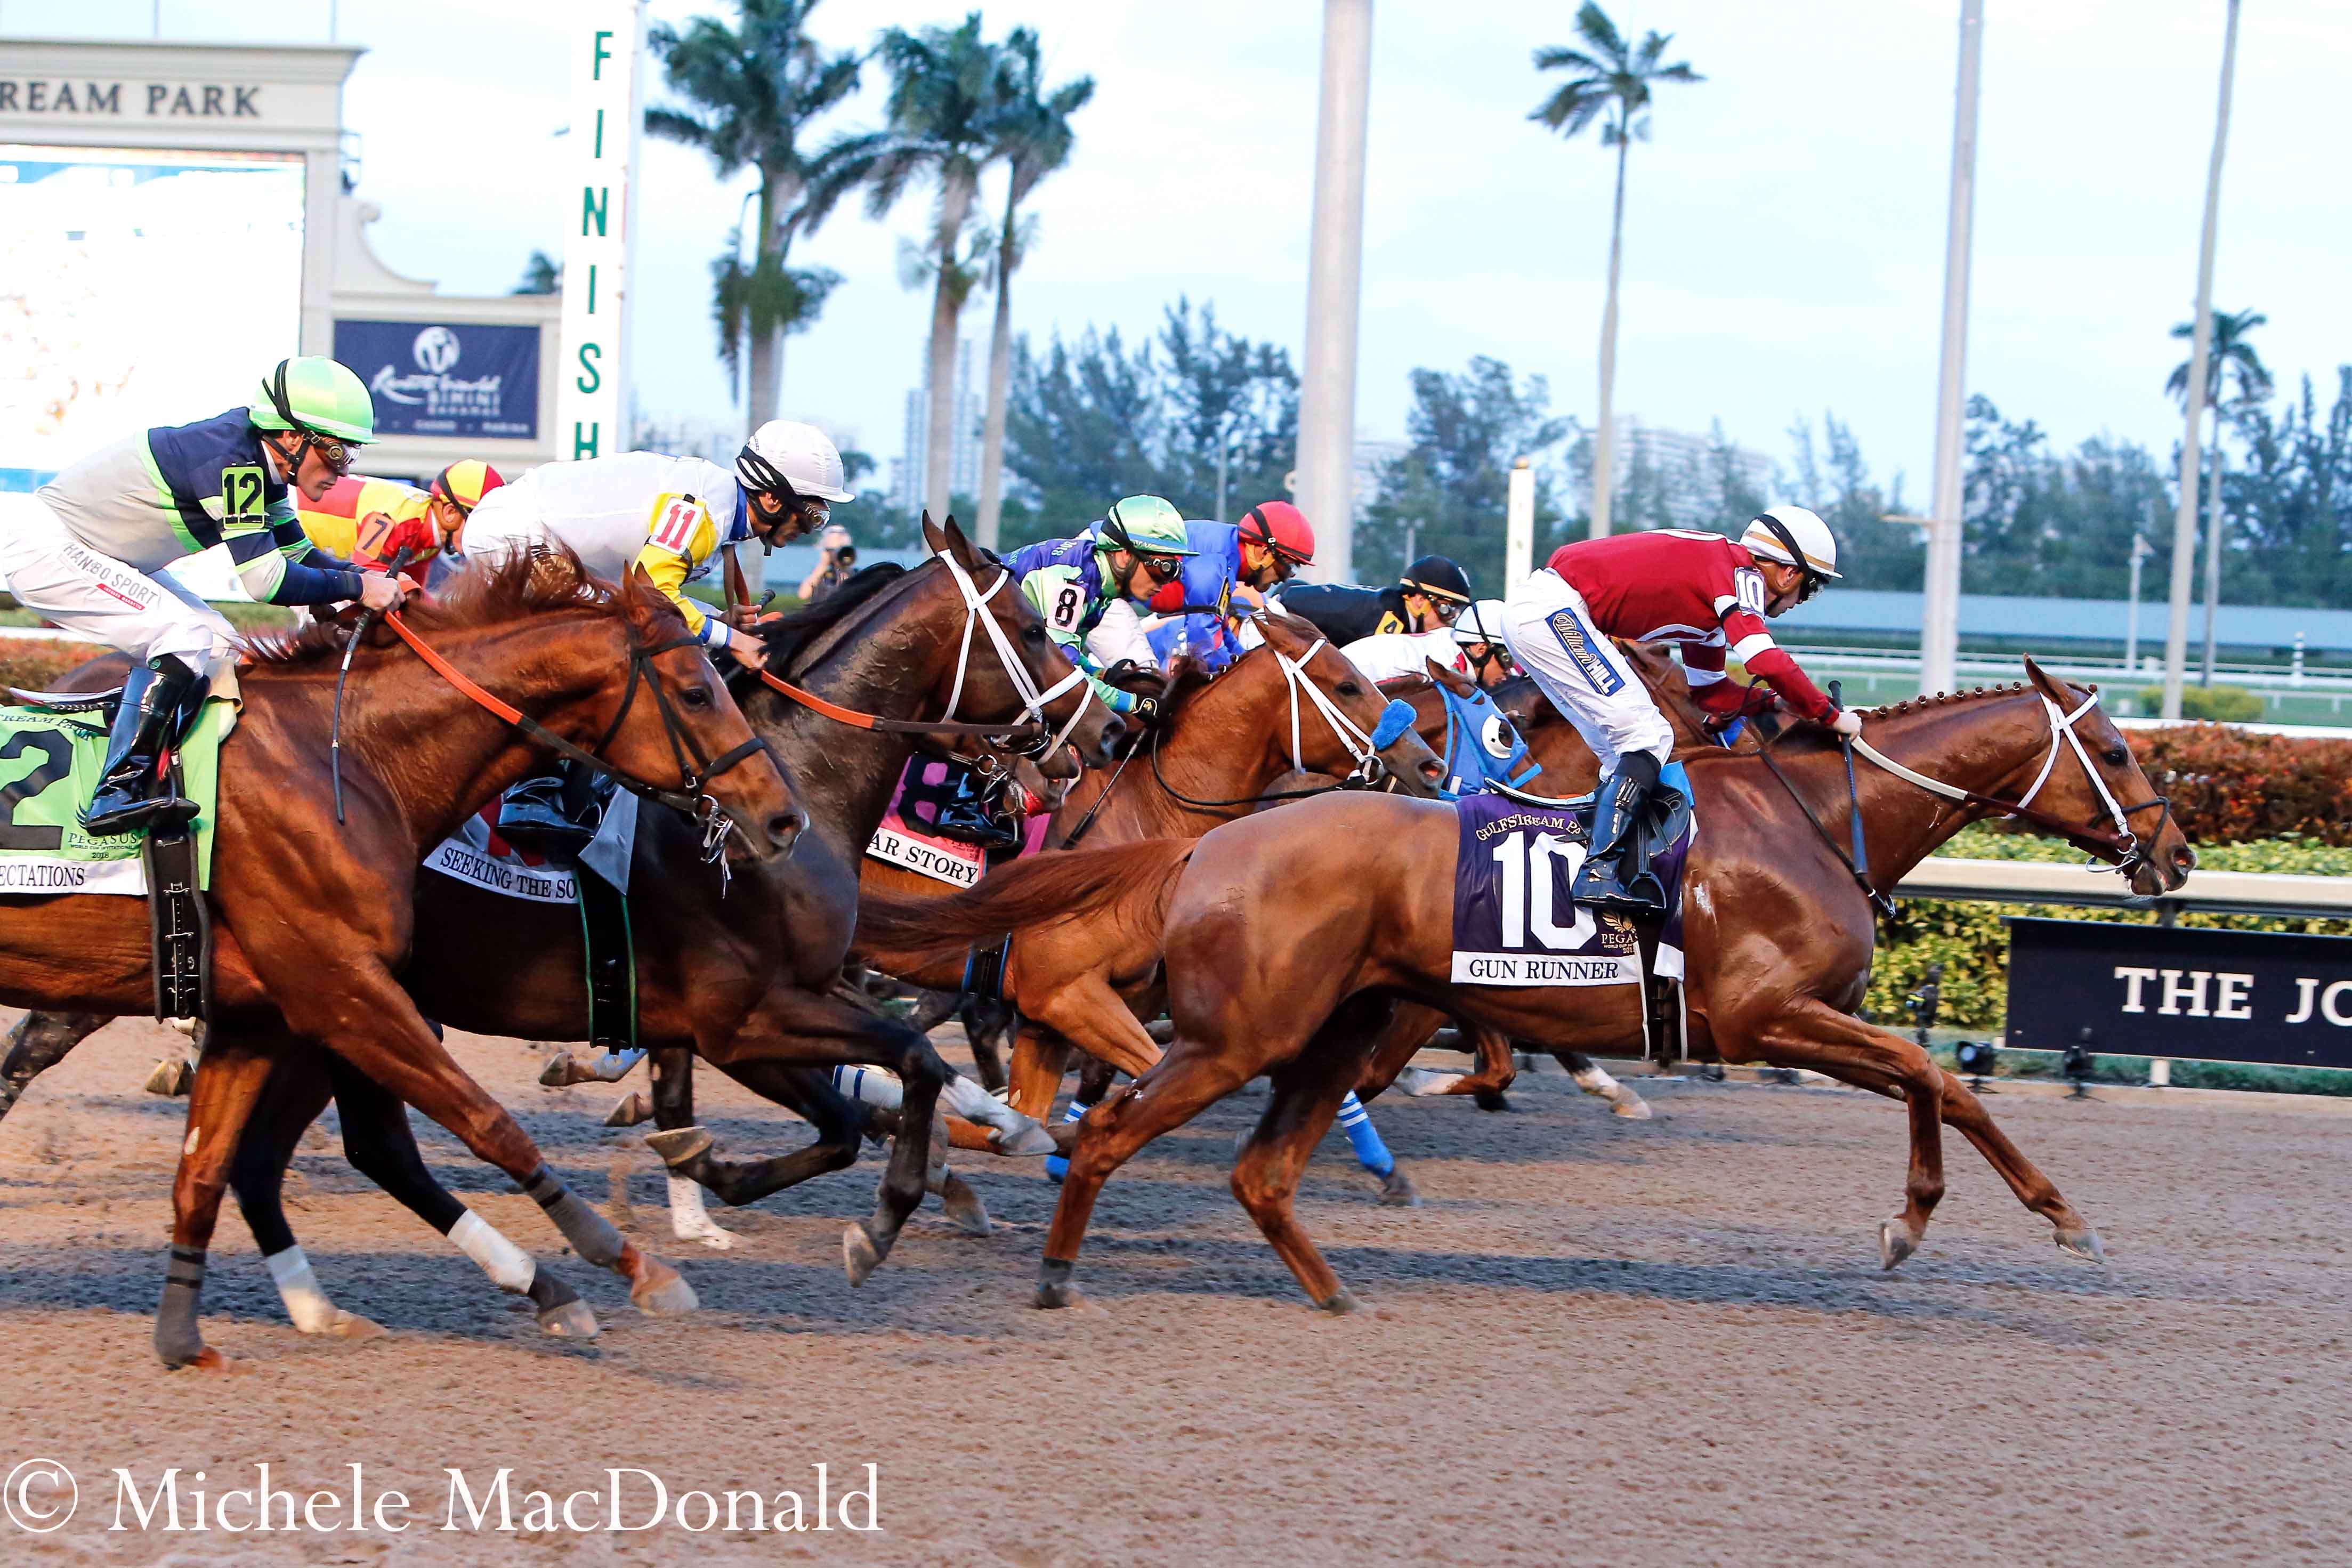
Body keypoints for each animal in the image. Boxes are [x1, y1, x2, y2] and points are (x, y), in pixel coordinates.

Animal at [0, 550, 804, 1363]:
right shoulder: (344, 989)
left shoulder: (259, 1011)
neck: (347, 757)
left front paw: (182, 1336)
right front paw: (622, 1267)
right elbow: (488, 1121)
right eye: (697, 692)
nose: (783, 817)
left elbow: (203, 1167)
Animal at [870, 658, 2201, 1316]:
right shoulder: (1766, 1016)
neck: (1817, 821)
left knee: (1235, 1157)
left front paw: (1956, 1218)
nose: (2178, 853)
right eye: (2115, 749)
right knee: (1105, 1125)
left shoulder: (1797, 1020)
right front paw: (2012, 1219)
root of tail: (1207, 847)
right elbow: (1937, 1074)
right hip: (1240, 1032)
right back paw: (1039, 1246)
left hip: (1321, 1024)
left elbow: (1936, 1084)